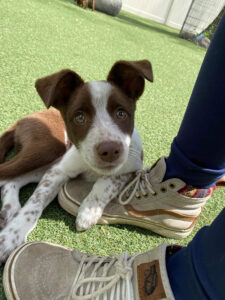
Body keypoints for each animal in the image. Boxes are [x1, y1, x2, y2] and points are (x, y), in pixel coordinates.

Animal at [0, 59, 154, 262]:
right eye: (80, 117)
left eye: (121, 113)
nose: (110, 150)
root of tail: (25, 117)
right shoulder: (58, 170)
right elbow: (34, 203)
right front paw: (10, 237)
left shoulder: (131, 167)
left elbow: (107, 182)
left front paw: (88, 211)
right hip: (48, 148)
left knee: (11, 180)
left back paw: (10, 208)